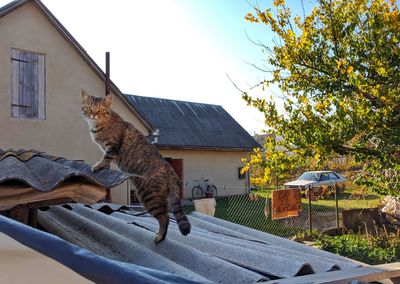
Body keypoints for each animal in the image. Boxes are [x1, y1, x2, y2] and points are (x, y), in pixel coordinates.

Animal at [81, 90, 191, 243]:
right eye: (89, 108)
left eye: (101, 109)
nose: (94, 114)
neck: (98, 125)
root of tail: (172, 173)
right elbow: (107, 161)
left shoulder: (112, 147)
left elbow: (105, 158)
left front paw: (98, 165)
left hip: (148, 196)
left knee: (165, 218)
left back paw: (160, 237)